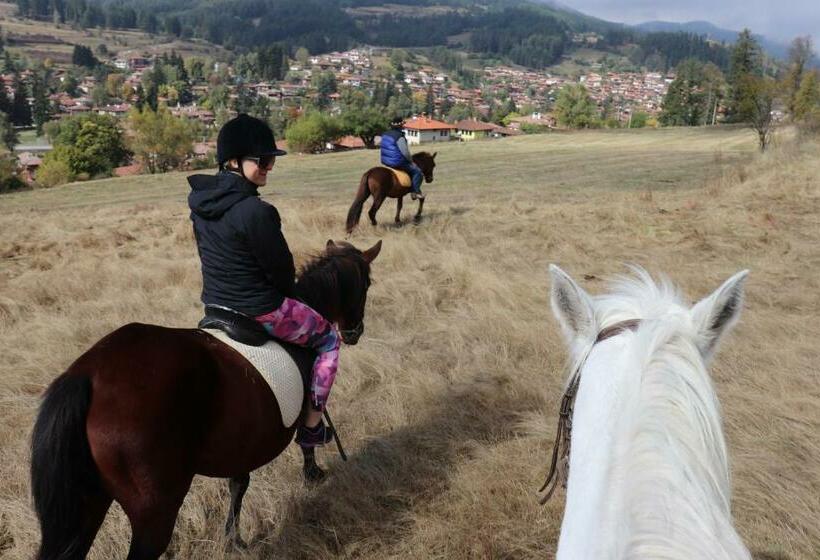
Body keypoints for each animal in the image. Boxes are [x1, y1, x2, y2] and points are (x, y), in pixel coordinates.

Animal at [30, 239, 382, 560]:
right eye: (366, 284)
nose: (354, 332)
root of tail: (89, 374)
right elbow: (307, 434)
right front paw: (313, 473)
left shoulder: (242, 440)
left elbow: (239, 483)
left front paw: (233, 540)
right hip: (154, 510)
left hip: (88, 504)